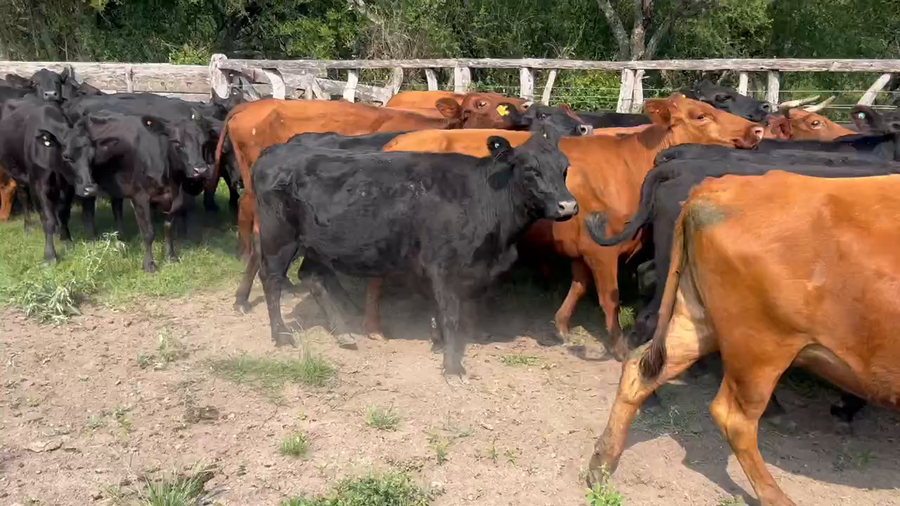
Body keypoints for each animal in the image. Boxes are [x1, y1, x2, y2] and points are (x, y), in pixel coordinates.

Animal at [0, 98, 97, 263]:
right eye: (67, 156)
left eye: (92, 154)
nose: (89, 189)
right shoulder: (39, 185)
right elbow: (47, 218)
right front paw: (49, 256)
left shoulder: (68, 186)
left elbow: (63, 212)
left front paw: (66, 240)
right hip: (18, 175)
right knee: (24, 197)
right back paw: (28, 228)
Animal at [245, 126, 576, 375]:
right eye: (531, 169)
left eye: (565, 169)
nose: (569, 205)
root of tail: (275, 151)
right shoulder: (443, 266)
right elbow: (450, 314)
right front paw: (453, 367)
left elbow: (441, 311)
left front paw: (439, 343)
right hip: (279, 238)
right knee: (272, 280)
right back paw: (281, 335)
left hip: (316, 244)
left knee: (312, 277)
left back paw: (342, 333)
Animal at [371, 95, 764, 359]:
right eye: (702, 114)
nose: (755, 129)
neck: (630, 167)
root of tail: (398, 141)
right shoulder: (603, 250)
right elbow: (609, 298)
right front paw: (618, 346)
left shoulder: (580, 248)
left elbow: (578, 286)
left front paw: (560, 326)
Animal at [588, 170, 900, 506]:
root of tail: (716, 187)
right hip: (761, 348)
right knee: (734, 419)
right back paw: (775, 495)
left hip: (697, 321)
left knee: (638, 369)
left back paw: (602, 463)